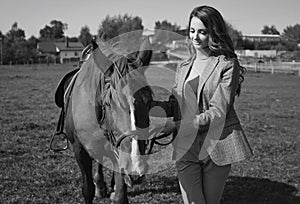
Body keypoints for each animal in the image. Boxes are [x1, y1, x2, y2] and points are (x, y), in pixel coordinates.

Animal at [55, 37, 155, 204]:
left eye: (149, 102)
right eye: (109, 104)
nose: (135, 167)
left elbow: (121, 195)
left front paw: (115, 190)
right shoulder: (79, 150)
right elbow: (87, 190)